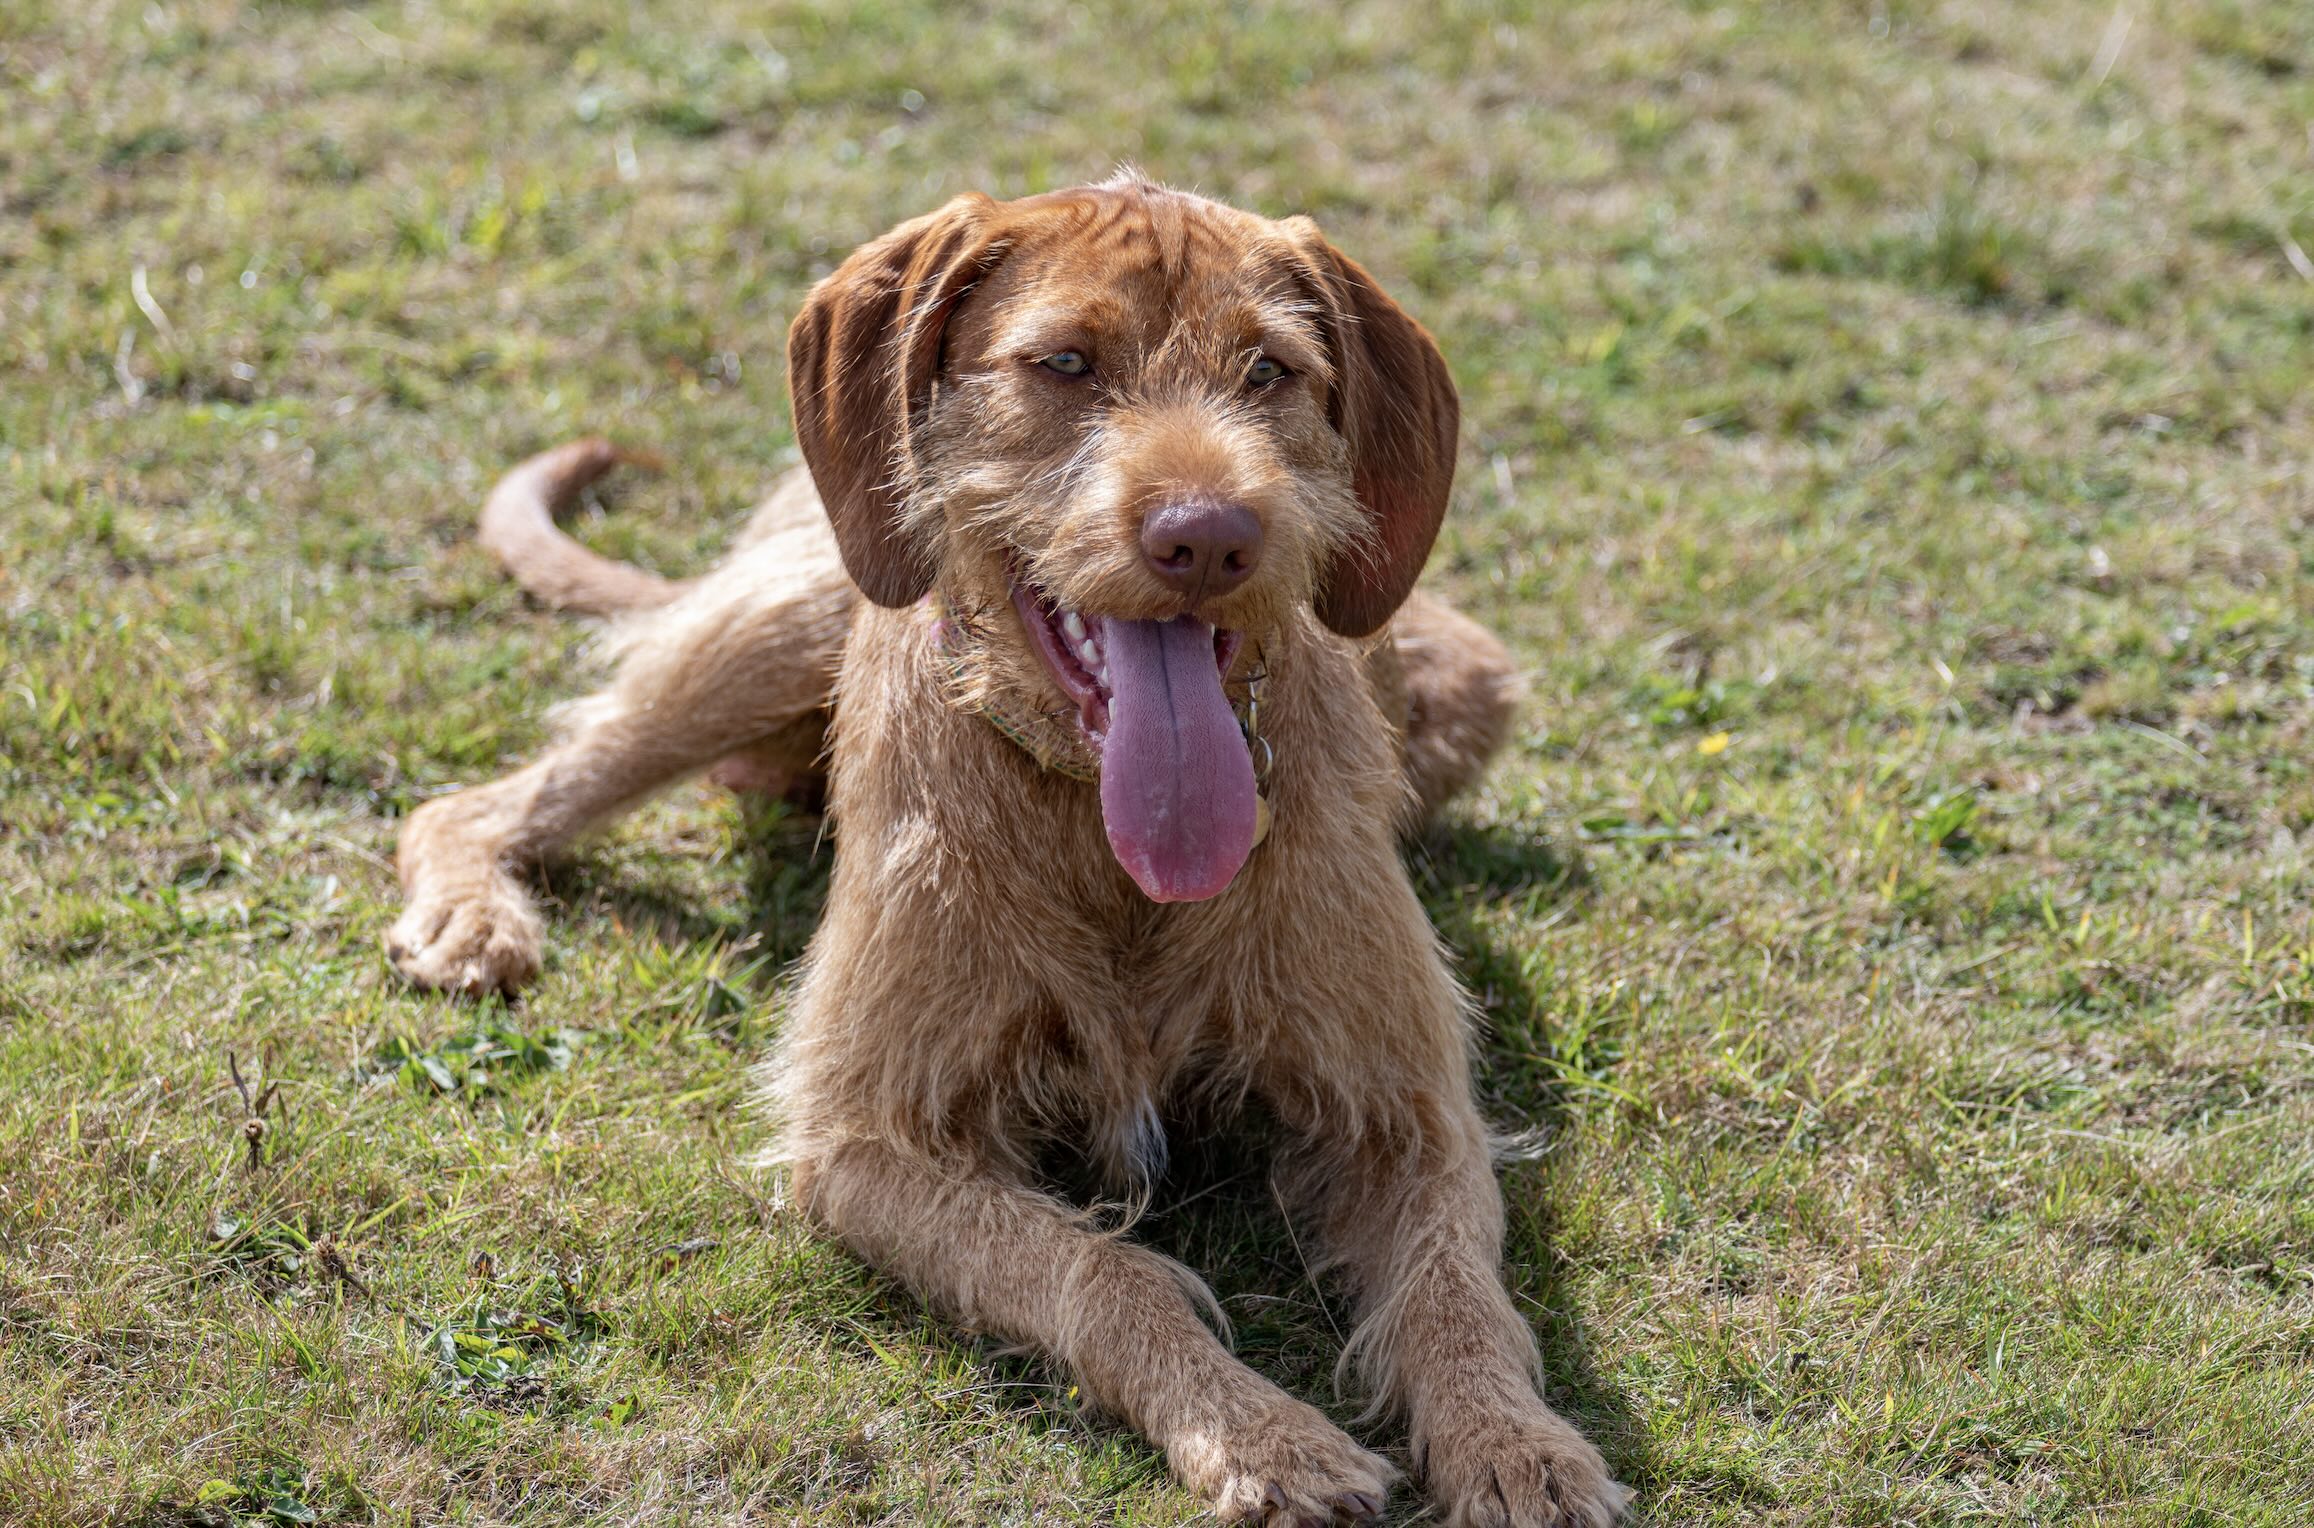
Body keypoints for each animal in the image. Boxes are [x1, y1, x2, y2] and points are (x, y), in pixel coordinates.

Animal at [388, 170, 1629, 1528]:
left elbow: (1456, 1288)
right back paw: (471, 911)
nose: (1210, 537)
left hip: (1467, 689)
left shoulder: (1406, 1113)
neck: (1099, 833)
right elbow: (1109, 1271)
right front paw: (1260, 1434)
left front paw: (1515, 1444)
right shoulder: (865, 1143)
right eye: (1065, 362)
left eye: (1270, 370)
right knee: (477, 800)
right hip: (784, 615)